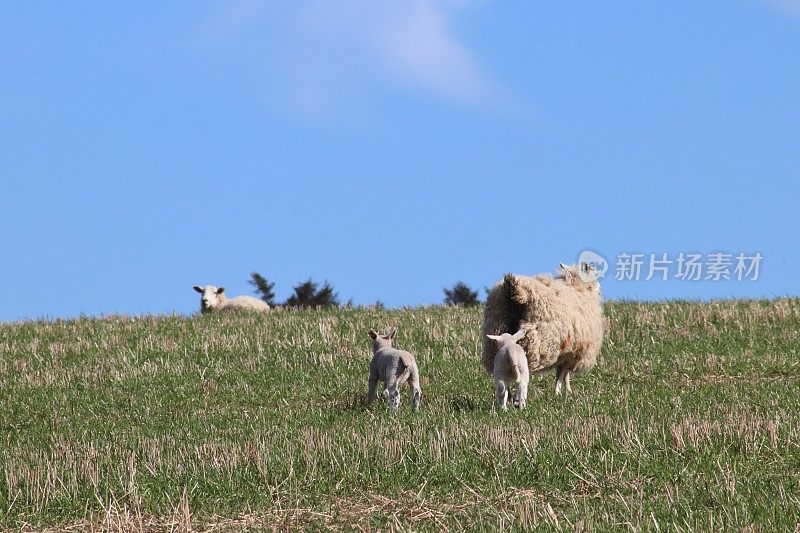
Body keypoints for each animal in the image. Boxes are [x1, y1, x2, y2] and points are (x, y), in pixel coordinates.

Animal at [482, 262, 600, 394]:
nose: (599, 289)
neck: (578, 287)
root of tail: (516, 290)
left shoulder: (567, 353)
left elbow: (562, 374)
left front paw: (565, 392)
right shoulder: (573, 352)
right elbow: (562, 374)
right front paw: (561, 393)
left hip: (495, 333)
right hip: (533, 342)